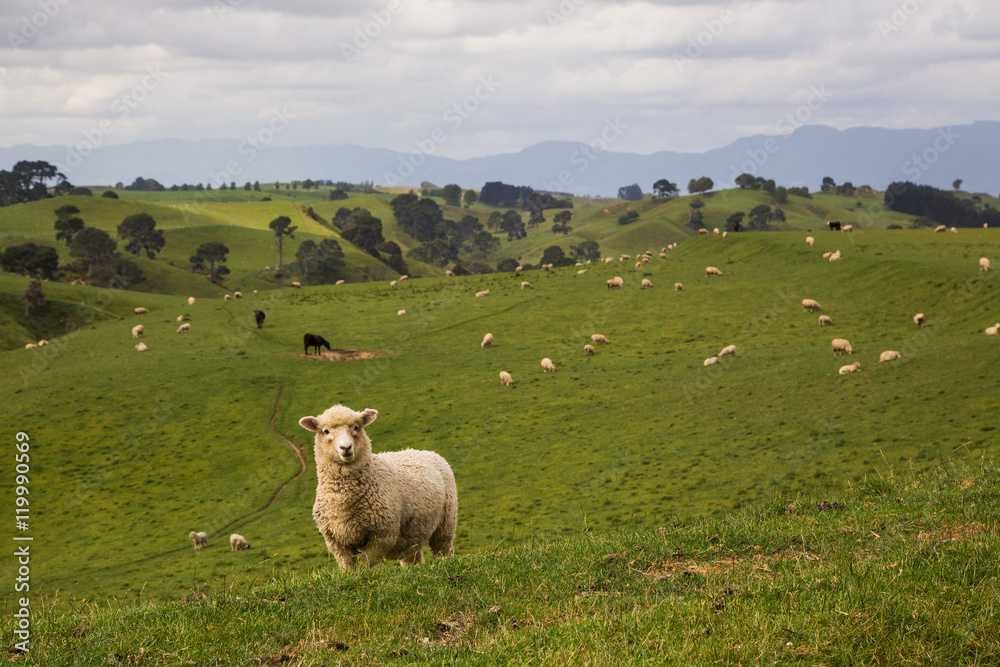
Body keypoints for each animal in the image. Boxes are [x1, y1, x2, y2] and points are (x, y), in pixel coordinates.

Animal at [299, 405, 457, 569]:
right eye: (326, 431)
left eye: (356, 427)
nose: (346, 447)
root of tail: (422, 451)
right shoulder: (336, 541)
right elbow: (348, 566)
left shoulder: (382, 535)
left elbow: (371, 563)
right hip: (412, 535)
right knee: (413, 557)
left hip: (446, 522)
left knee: (443, 549)